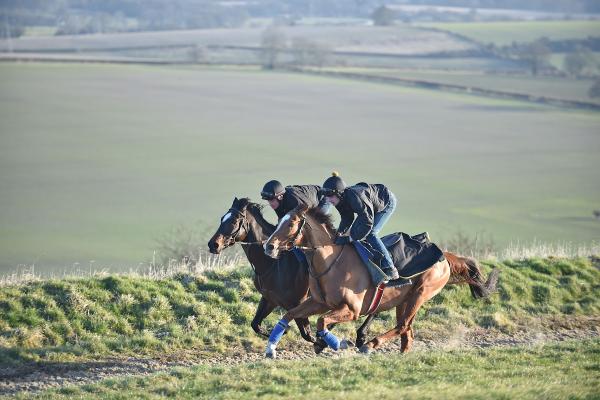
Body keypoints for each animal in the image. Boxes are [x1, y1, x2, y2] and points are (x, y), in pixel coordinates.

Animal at [206, 198, 376, 346]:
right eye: (222, 219)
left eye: (234, 221)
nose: (213, 244)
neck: (272, 264)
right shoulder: (270, 299)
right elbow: (255, 324)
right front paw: (284, 331)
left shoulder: (297, 302)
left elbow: (307, 334)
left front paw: (322, 341)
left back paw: (361, 335)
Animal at [262, 205, 496, 358]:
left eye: (292, 223)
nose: (269, 246)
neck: (330, 261)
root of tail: (444, 256)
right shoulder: (318, 302)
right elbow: (289, 315)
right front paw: (271, 349)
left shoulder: (352, 309)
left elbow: (322, 321)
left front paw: (339, 343)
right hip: (404, 300)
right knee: (407, 332)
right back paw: (399, 354)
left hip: (421, 293)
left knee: (403, 326)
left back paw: (370, 345)